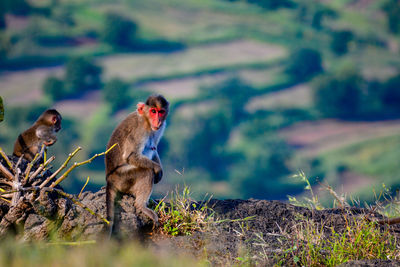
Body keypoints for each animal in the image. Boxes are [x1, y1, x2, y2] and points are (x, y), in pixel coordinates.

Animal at [104, 94, 169, 237]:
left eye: (161, 112)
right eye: (153, 111)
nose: (158, 121)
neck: (146, 121)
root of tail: (109, 179)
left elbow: (154, 148)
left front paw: (160, 170)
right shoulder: (139, 131)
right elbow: (130, 155)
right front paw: (157, 168)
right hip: (122, 179)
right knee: (146, 171)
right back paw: (141, 206)